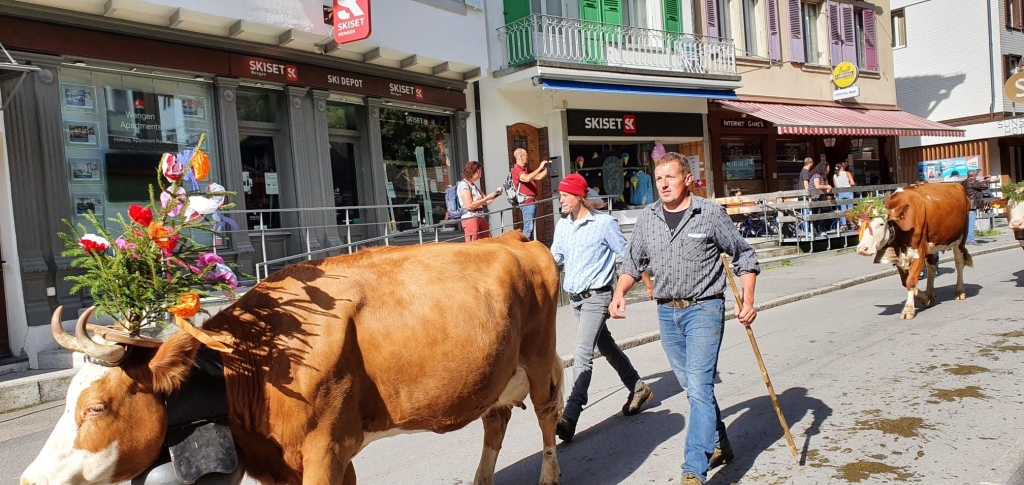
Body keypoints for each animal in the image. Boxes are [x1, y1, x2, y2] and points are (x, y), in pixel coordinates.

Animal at [22, 231, 569, 484]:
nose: (28, 478)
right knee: (495, 419)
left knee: (546, 415)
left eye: (96, 407)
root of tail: (514, 238)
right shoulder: (293, 461)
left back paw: (549, 475)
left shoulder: (325, 448)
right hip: (497, 372)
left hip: (540, 357)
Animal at [851, 182, 970, 319]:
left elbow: (911, 281)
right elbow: (905, 281)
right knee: (932, 266)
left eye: (881, 224)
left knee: (959, 263)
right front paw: (925, 299)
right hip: (931, 245)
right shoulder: (899, 256)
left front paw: (908, 310)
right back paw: (930, 294)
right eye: (859, 225)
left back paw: (960, 291)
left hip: (960, 239)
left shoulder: (919, 252)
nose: (862, 249)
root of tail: (957, 184)